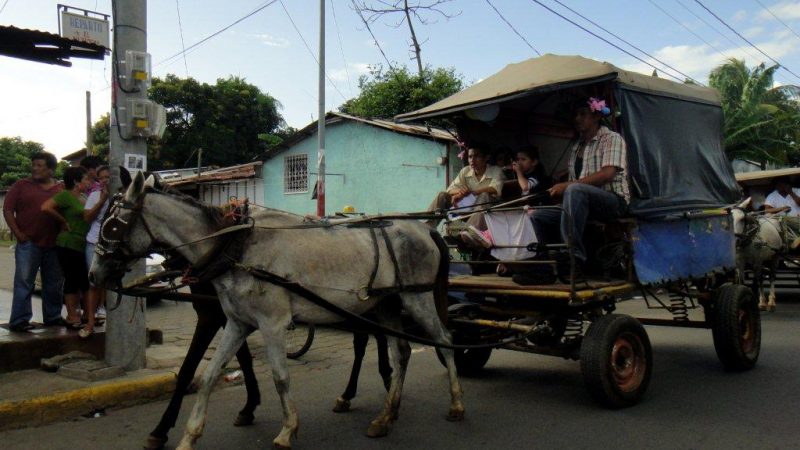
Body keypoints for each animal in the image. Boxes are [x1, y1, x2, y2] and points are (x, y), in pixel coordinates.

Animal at [88, 171, 466, 448]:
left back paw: (456, 403)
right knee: (401, 352)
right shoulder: (236, 322)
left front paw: (287, 430)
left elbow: (280, 377)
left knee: (446, 341)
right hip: (386, 305)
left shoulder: (272, 324)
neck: (233, 246)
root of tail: (425, 228)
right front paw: (189, 435)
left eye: (112, 225)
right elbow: (209, 375)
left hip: (418, 300)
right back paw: (386, 416)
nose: (93, 275)